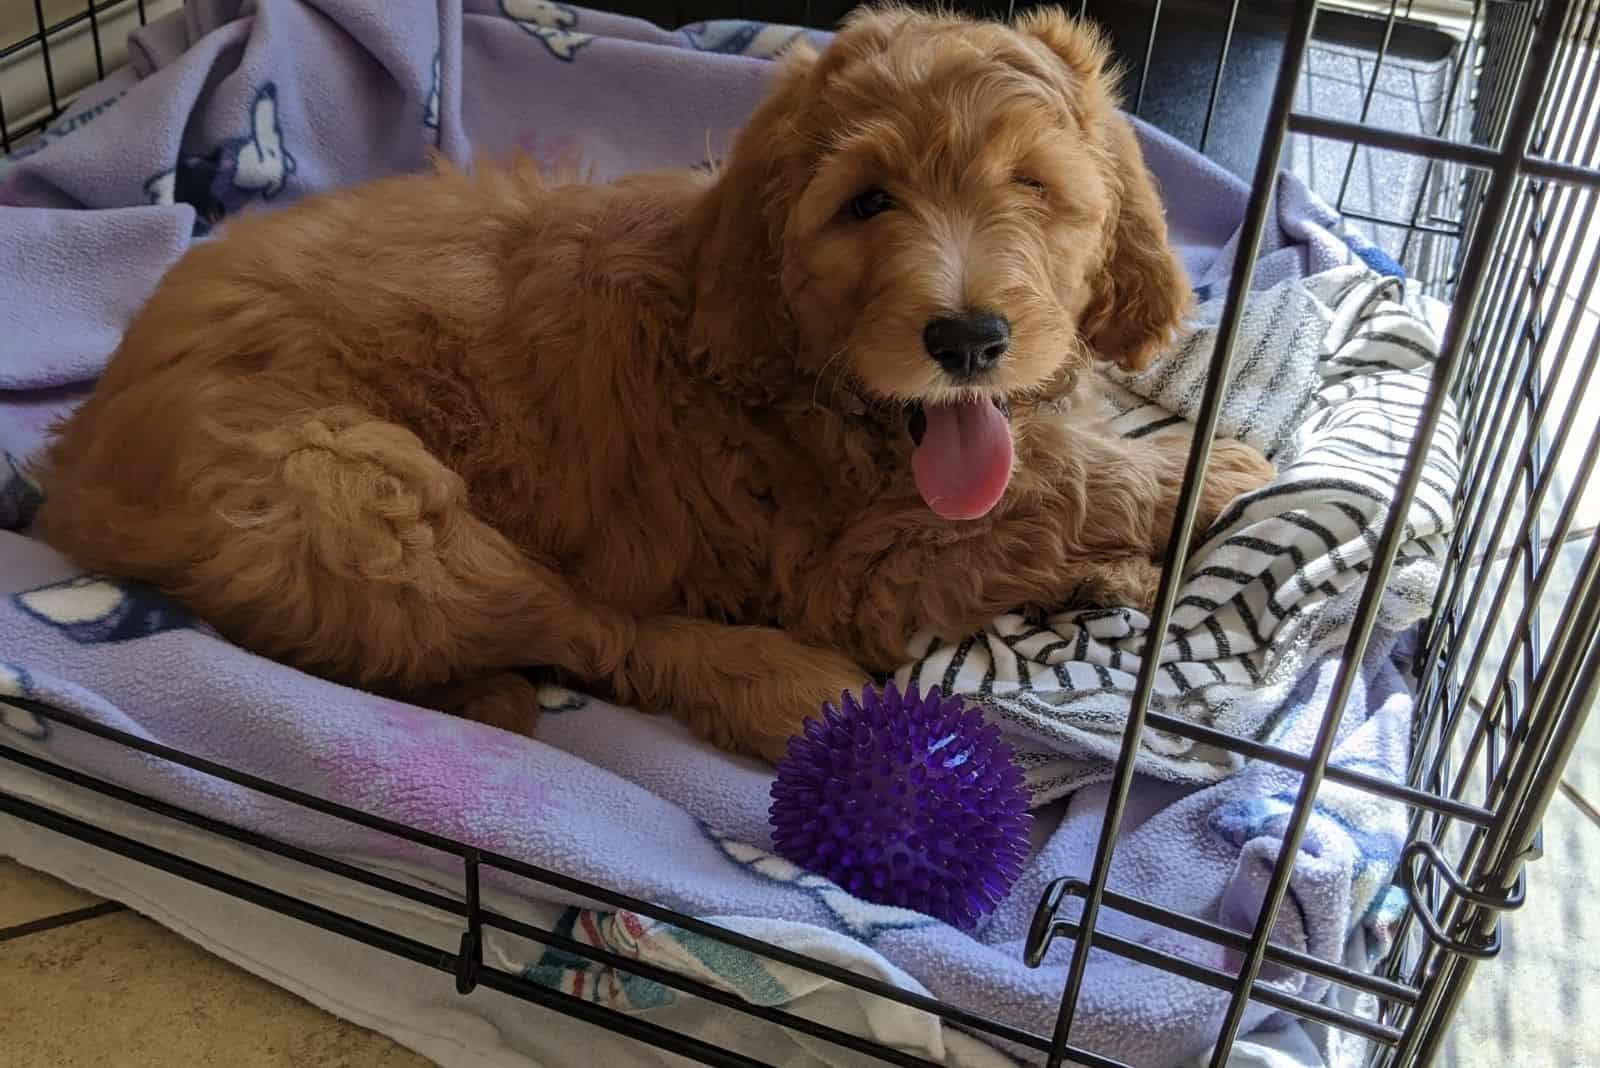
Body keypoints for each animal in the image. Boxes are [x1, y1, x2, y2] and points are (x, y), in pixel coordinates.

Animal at [37, 8, 1273, 757]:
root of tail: (71, 465)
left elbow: (1052, 463)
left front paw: (1125, 546)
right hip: (353, 492)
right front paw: (1200, 474)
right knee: (591, 626)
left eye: (1033, 186)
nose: (968, 337)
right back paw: (774, 683)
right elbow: (1053, 483)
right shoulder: (853, 571)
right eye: (867, 203)